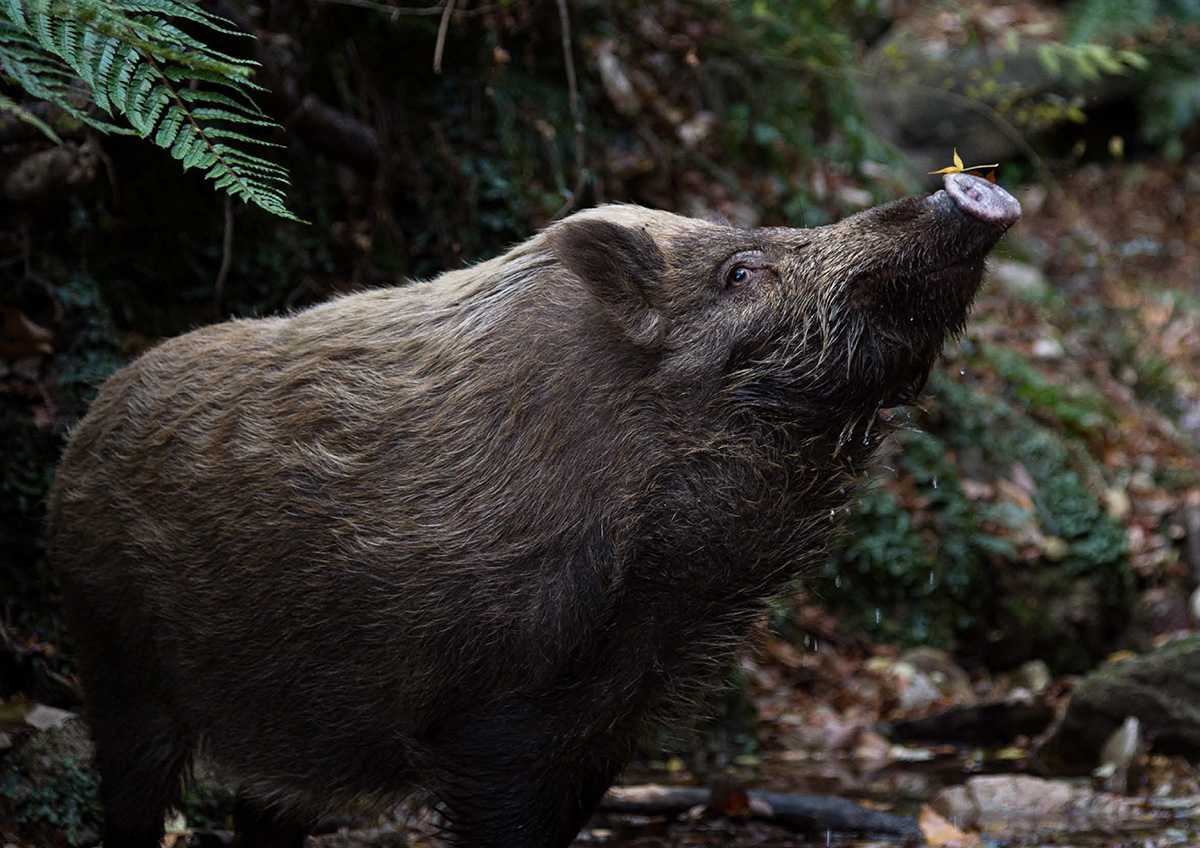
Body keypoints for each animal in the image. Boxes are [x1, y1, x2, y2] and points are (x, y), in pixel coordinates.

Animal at [47, 172, 1019, 848]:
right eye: (741, 271)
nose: (963, 190)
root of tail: (82, 432)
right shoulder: (497, 717)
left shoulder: (612, 717)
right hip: (116, 650)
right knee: (132, 798)